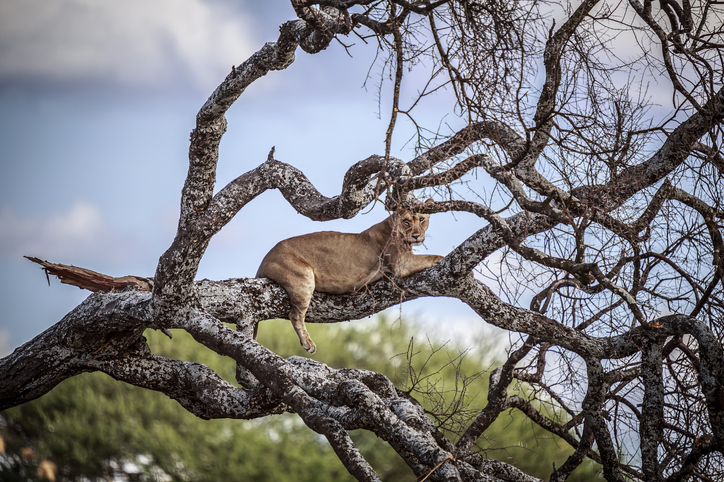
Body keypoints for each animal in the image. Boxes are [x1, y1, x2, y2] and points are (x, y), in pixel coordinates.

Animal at [256, 205, 443, 354]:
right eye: (406, 222)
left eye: (421, 219)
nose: (416, 235)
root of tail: (264, 260)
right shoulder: (402, 264)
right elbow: (433, 256)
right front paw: (443, 258)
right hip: (304, 277)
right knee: (295, 315)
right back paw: (308, 343)